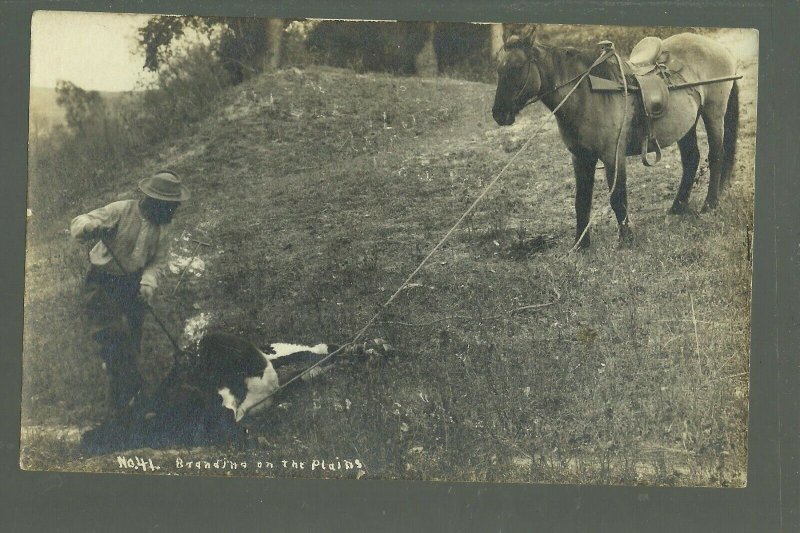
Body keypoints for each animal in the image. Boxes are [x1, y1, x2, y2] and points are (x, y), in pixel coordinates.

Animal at [490, 31, 740, 249]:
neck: (587, 94)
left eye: (517, 68)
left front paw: (626, 239)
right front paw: (581, 245)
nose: (498, 114)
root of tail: (718, 47)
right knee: (691, 160)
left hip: (713, 114)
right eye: (499, 69)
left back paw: (709, 205)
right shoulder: (580, 157)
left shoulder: (613, 155)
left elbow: (617, 197)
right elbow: (581, 201)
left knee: (716, 156)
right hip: (686, 125)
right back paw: (677, 208)